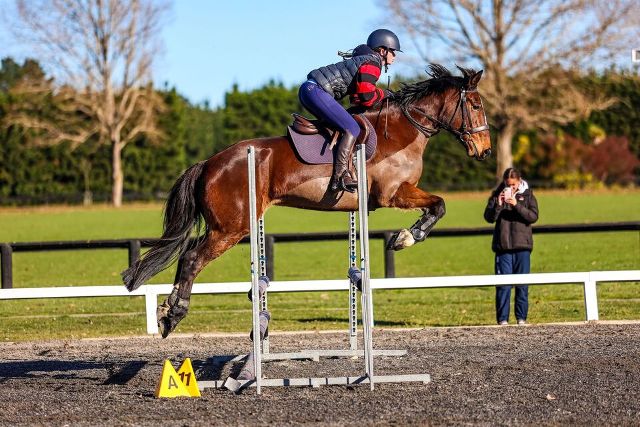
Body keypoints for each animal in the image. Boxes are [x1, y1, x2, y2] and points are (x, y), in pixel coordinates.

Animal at [122, 64, 492, 338]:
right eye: (475, 106)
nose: (485, 151)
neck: (404, 128)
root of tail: (209, 163)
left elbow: (437, 205)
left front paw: (406, 236)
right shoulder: (393, 193)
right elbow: (439, 204)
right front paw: (405, 238)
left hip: (227, 226)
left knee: (186, 255)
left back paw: (167, 310)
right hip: (231, 228)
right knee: (192, 258)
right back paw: (174, 314)